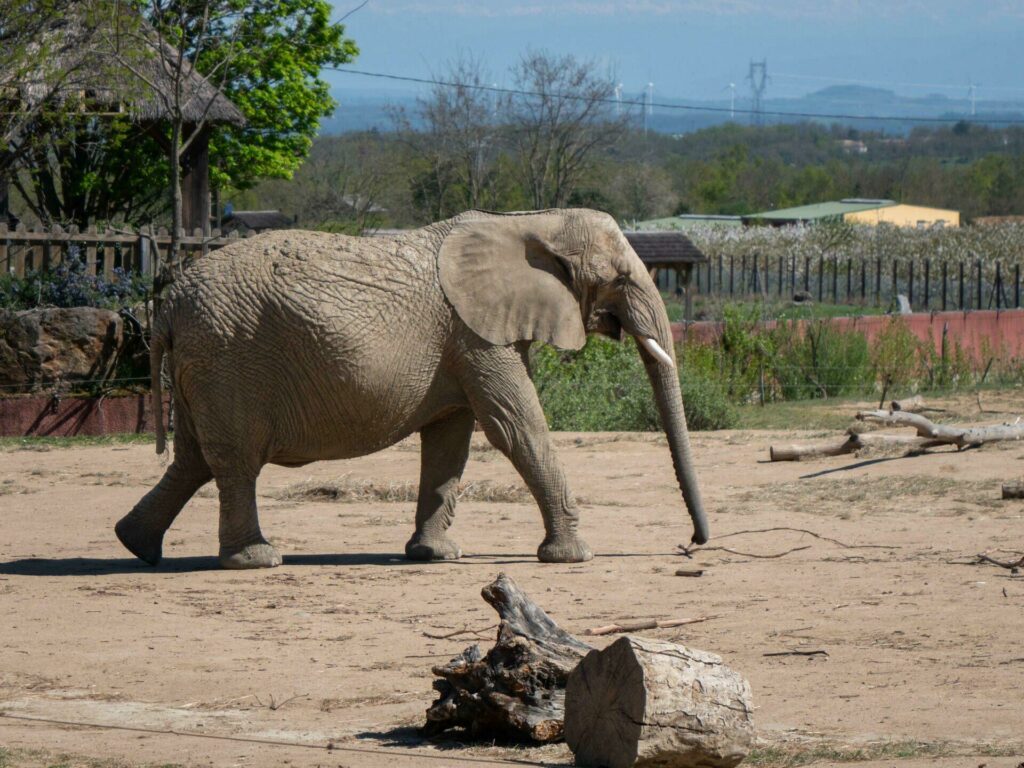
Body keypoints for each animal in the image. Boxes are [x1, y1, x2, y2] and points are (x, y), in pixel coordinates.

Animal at [116, 210, 708, 573]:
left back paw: (135, 545)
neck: (530, 221)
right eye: (621, 278)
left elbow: (450, 440)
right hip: (227, 355)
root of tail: (168, 304)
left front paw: (434, 555)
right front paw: (574, 556)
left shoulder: (465, 340)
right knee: (234, 460)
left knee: (193, 459)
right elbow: (516, 427)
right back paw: (257, 560)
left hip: (204, 363)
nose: (694, 544)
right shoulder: (475, 334)